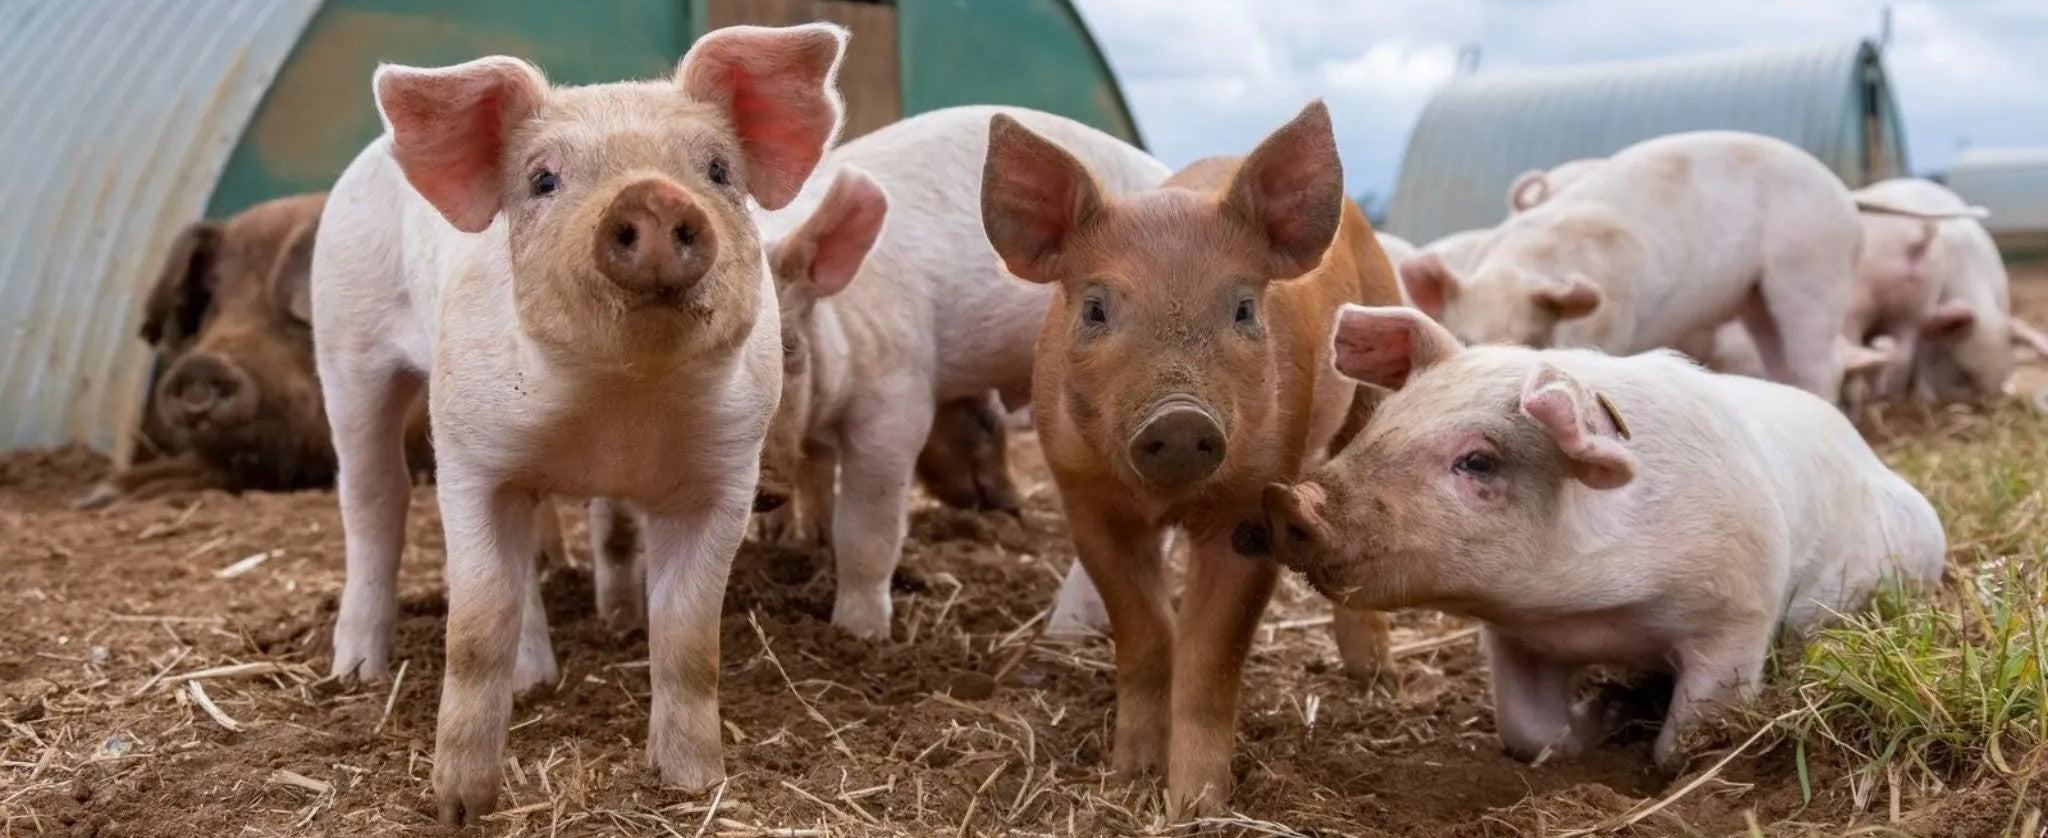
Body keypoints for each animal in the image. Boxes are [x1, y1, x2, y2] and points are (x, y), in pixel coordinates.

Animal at [311, 24, 847, 823]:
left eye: (718, 169)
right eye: (542, 180)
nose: (653, 196)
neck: (616, 405)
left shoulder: (724, 478)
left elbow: (689, 640)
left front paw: (695, 785)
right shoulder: (471, 456)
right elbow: (476, 630)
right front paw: (459, 808)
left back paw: (534, 675)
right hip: (345, 344)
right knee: (374, 497)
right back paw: (358, 675)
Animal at [752, 105, 1171, 640]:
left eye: (788, 347)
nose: (760, 486)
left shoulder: (897, 396)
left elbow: (868, 529)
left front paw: (859, 635)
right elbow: (817, 481)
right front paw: (795, 542)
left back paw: (1065, 630)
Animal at [979, 100, 1400, 814]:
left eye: (1244, 307)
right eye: (1095, 308)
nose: (1179, 418)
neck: (1167, 500)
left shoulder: (1257, 500)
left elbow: (1210, 656)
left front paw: (1197, 807)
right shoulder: (1086, 503)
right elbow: (1146, 634)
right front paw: (1130, 778)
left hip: (1371, 379)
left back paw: (1373, 675)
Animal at [1255, 305, 1946, 770]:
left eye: (1478, 461)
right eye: (1384, 421)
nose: (1290, 499)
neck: (1593, 614)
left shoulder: (1738, 614)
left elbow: (1685, 739)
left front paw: (1646, 730)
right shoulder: (1513, 637)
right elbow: (1530, 732)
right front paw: (1602, 713)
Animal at [1400, 131, 1863, 400]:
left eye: (1534, 341)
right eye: (1464, 338)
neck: (1523, 265)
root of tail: (1848, 205)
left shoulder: (1612, 321)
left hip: (1813, 265)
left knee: (1822, 363)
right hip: (1756, 296)